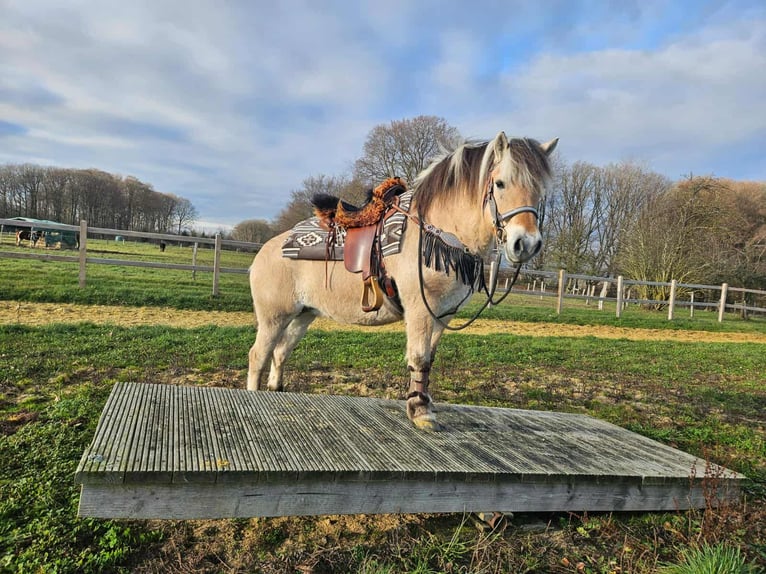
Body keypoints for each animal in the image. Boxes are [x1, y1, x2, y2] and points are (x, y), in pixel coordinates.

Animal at [248, 131, 558, 430]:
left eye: (540, 191)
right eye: (501, 184)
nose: (526, 244)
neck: (439, 233)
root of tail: (266, 250)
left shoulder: (443, 314)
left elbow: (429, 359)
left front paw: (425, 403)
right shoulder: (420, 310)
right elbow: (419, 357)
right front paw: (420, 411)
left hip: (303, 315)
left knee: (280, 353)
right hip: (274, 317)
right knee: (258, 356)